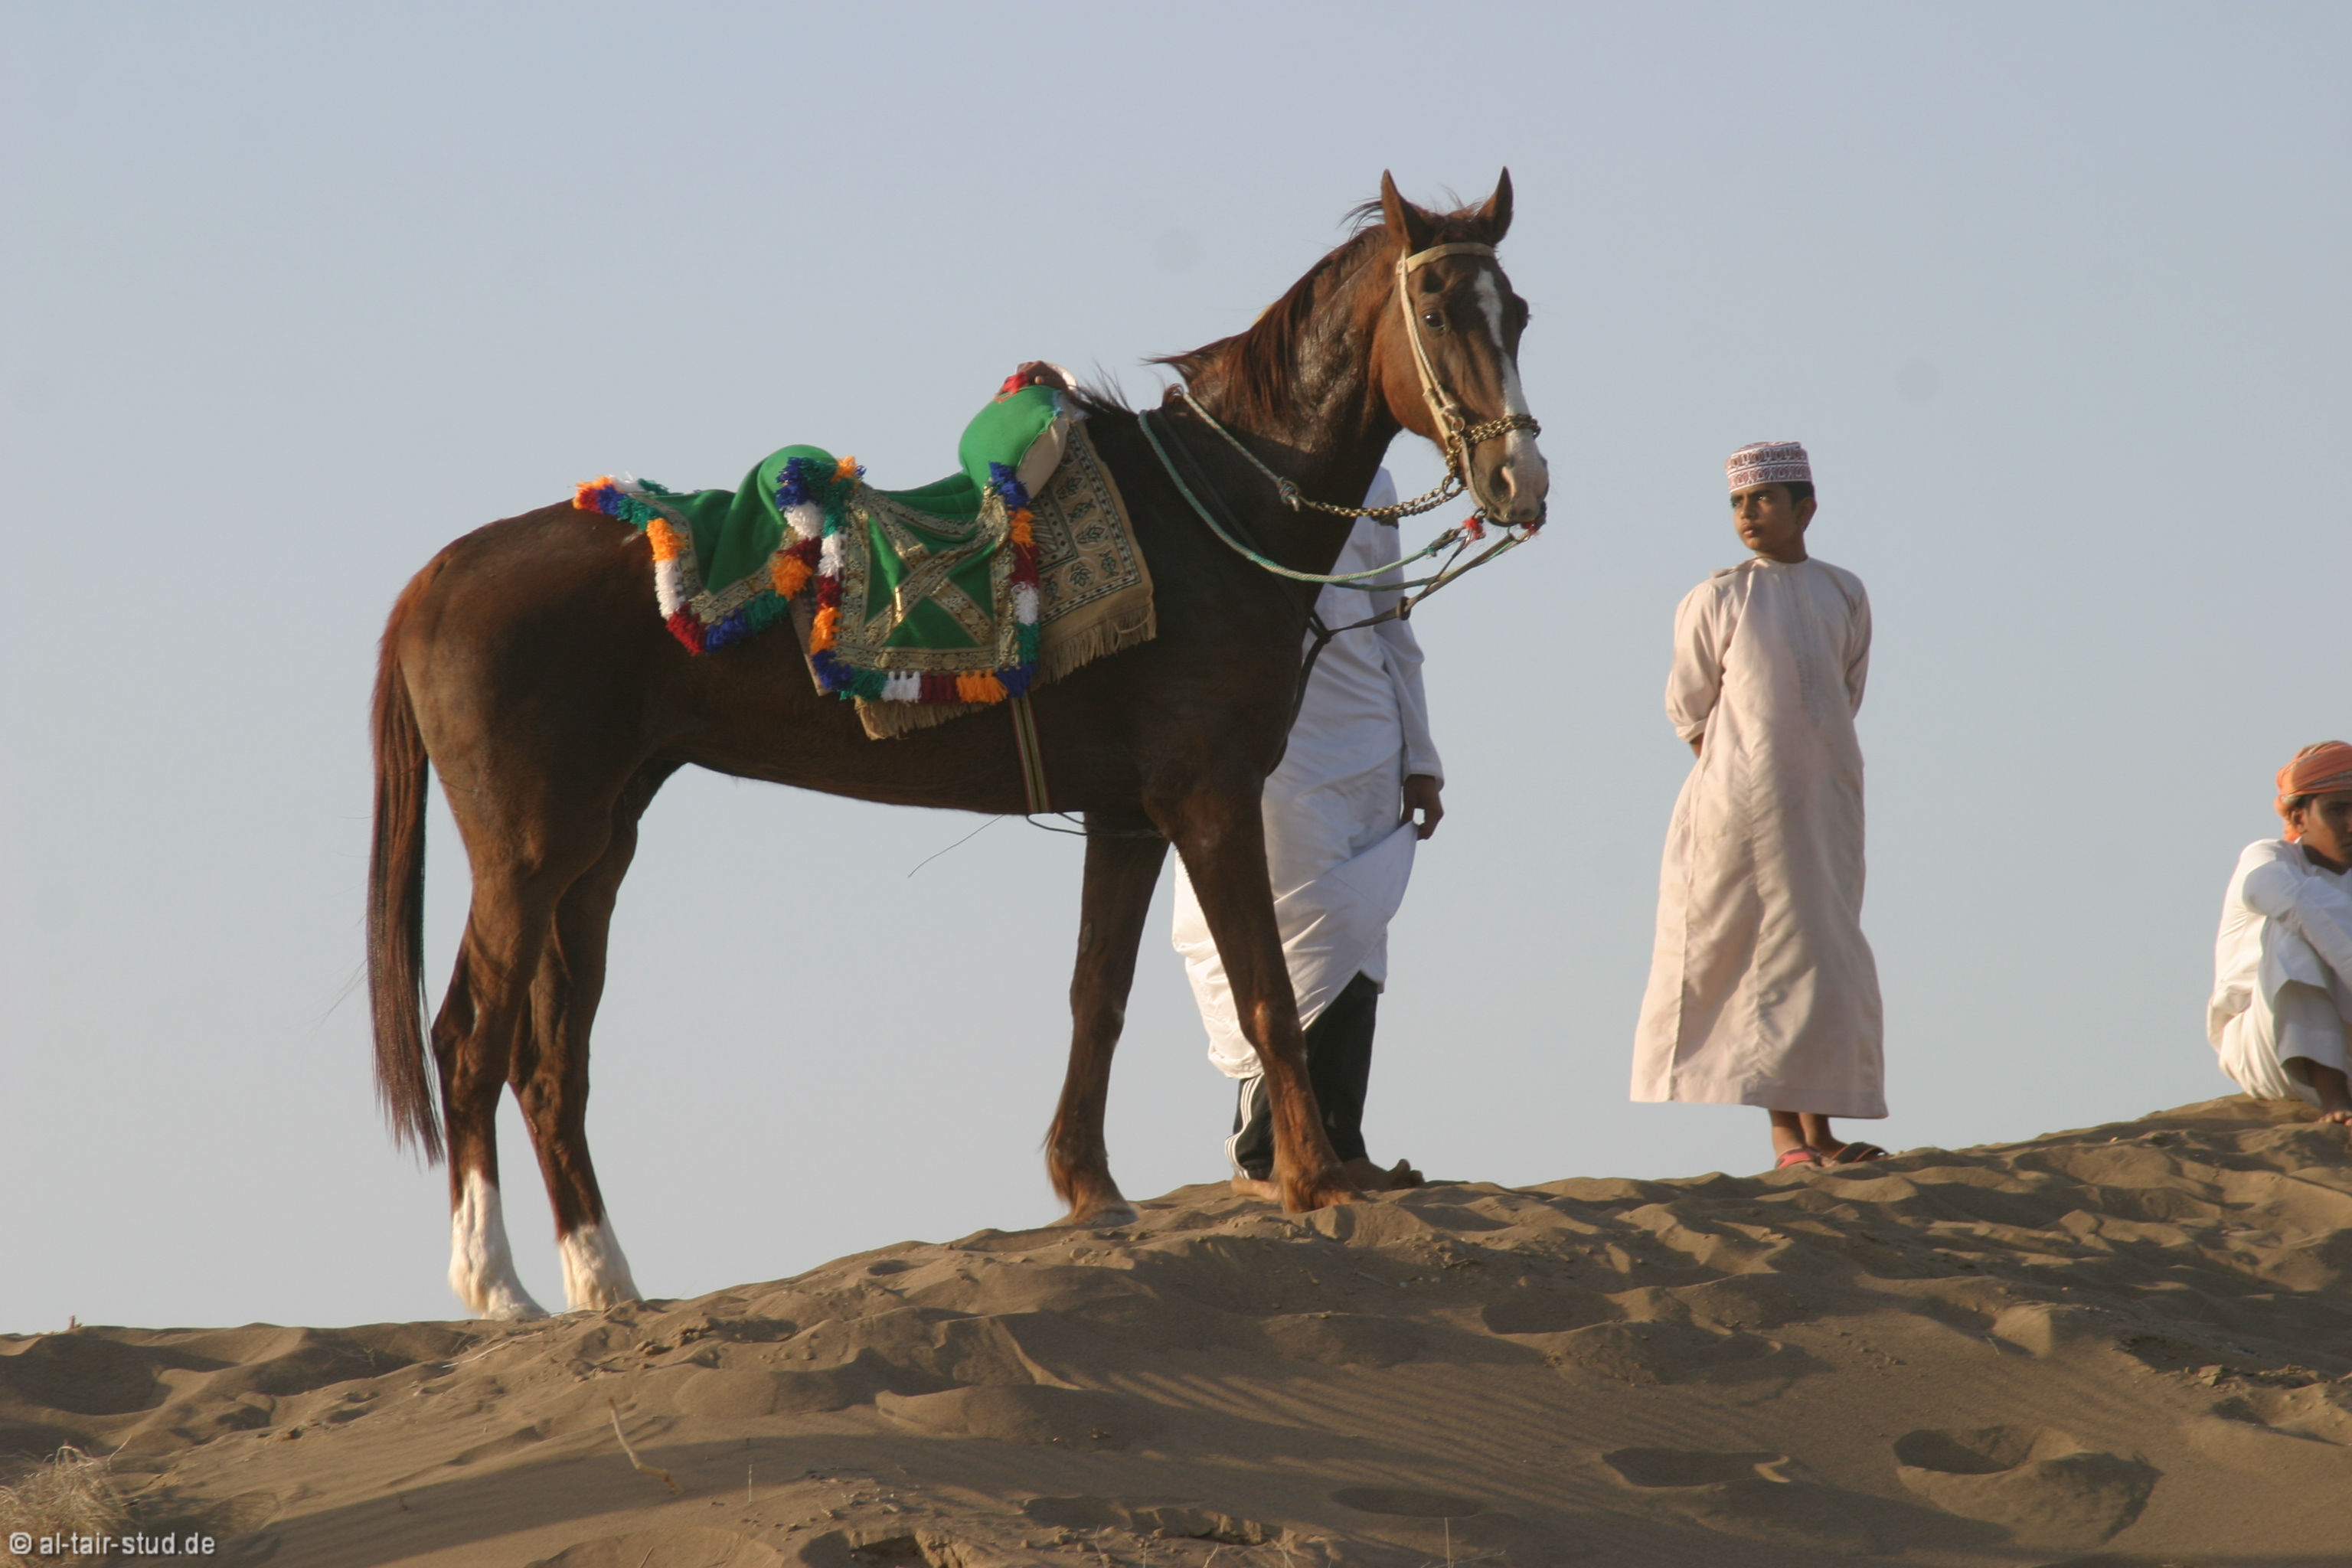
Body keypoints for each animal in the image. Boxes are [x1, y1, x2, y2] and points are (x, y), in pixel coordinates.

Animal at [368, 171, 1548, 1319]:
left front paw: (1089, 1185)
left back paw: (604, 1284)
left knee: (552, 1059)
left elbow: (1097, 994)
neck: (1214, 517)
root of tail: (434, 578)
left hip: (600, 844)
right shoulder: (1209, 795)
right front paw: (1313, 1180)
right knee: (469, 1038)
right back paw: (499, 1288)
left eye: (1520, 313)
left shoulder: (1128, 813)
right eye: (1435, 311)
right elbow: (1265, 989)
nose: (1520, 484)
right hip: (526, 850)